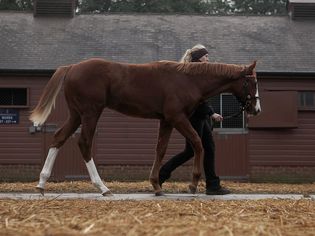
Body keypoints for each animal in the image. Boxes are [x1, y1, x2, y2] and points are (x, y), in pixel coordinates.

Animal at [29, 58, 262, 195]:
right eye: (253, 82)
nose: (256, 109)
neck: (187, 79)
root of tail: (71, 68)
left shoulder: (166, 120)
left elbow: (161, 149)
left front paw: (156, 184)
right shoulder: (177, 117)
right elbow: (197, 142)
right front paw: (193, 183)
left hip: (76, 114)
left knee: (59, 137)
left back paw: (42, 184)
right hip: (90, 113)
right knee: (84, 143)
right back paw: (102, 187)